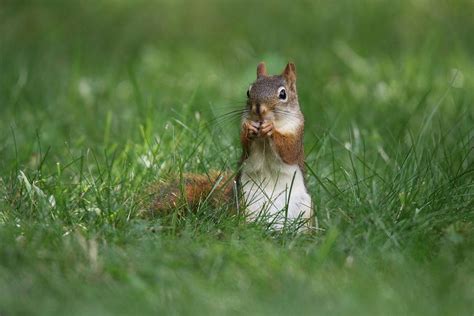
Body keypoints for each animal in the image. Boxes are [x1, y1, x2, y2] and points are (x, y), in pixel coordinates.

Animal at [146, 61, 312, 228]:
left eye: (283, 94)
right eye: (248, 92)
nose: (258, 108)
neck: (263, 137)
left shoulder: (297, 133)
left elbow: (289, 151)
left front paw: (271, 128)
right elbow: (246, 148)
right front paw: (249, 129)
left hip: (304, 209)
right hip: (245, 204)